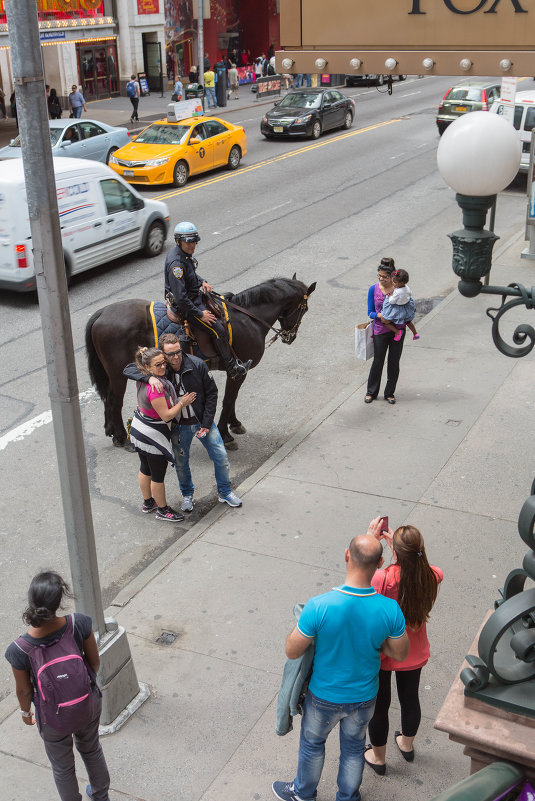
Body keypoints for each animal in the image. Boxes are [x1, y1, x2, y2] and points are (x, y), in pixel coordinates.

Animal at [86, 276, 316, 450]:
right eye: (304, 309)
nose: (290, 337)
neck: (248, 318)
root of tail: (101, 312)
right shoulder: (238, 370)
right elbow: (228, 399)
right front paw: (225, 433)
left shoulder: (239, 371)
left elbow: (232, 399)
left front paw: (234, 424)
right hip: (118, 373)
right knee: (114, 400)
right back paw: (122, 438)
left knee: (107, 398)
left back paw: (113, 432)